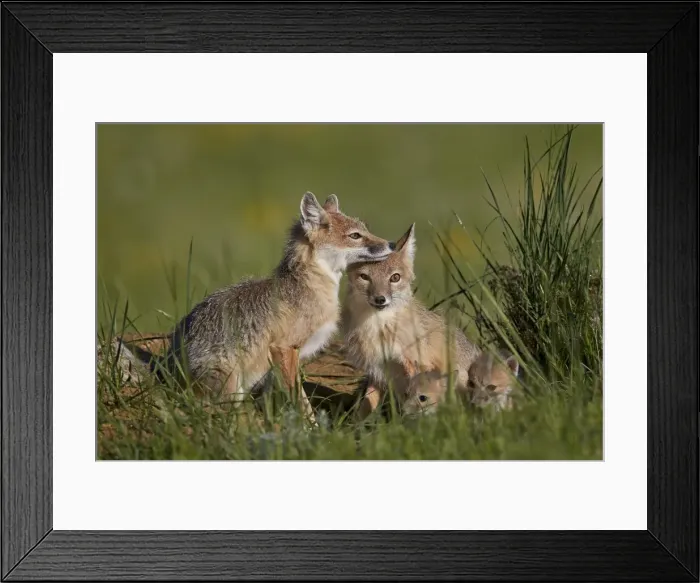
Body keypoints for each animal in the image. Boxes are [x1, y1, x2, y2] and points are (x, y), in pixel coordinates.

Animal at [164, 192, 393, 423]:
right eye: (355, 236)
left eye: (365, 230)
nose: (391, 244)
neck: (308, 285)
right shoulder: (283, 348)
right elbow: (300, 400)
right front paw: (310, 428)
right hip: (230, 386)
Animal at [341, 223, 481, 420]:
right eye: (365, 277)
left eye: (395, 278)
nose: (380, 299)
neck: (378, 328)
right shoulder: (377, 371)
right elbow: (365, 407)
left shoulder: (417, 365)